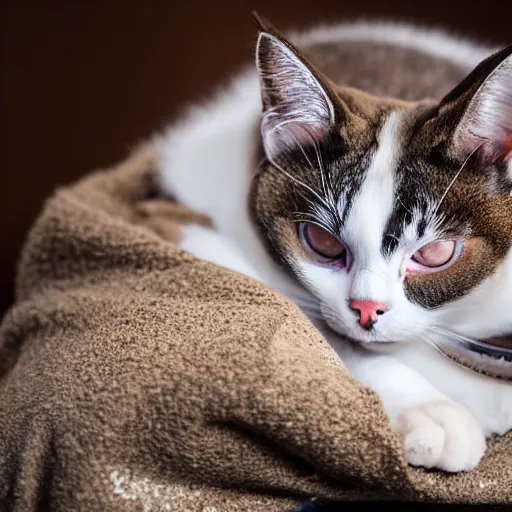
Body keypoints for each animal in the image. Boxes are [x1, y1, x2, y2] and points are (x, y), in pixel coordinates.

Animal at [156, 15, 512, 472]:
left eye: (434, 253)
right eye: (323, 242)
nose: (366, 310)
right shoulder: (184, 224)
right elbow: (312, 333)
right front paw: (429, 410)